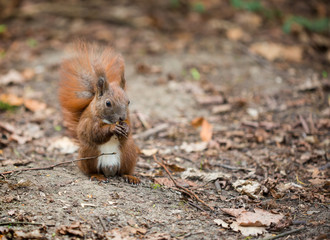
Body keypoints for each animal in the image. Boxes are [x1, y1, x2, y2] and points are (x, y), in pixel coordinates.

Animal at [59, 42, 139, 184]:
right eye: (108, 103)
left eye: (128, 101)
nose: (122, 117)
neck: (108, 120)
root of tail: (109, 169)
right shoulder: (89, 122)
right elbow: (95, 133)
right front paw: (113, 128)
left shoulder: (129, 118)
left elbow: (128, 132)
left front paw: (125, 127)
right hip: (89, 154)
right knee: (90, 170)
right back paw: (97, 175)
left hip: (128, 153)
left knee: (123, 171)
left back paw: (130, 176)